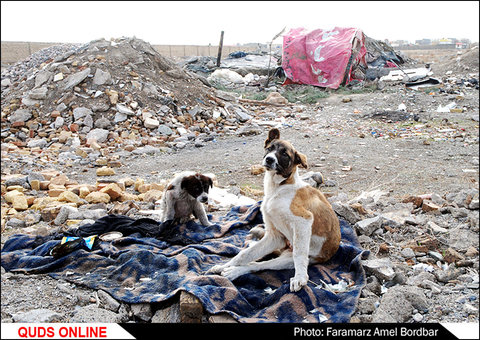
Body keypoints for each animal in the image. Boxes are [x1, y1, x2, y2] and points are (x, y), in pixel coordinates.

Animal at [209, 129, 342, 290]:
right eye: (270, 148)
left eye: (285, 154)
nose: (269, 160)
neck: (278, 187)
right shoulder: (274, 236)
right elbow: (244, 254)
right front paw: (225, 265)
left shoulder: (304, 220)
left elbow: (299, 253)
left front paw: (300, 277)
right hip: (278, 247)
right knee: (254, 261)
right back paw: (229, 269)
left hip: (288, 260)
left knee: (264, 264)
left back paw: (234, 272)